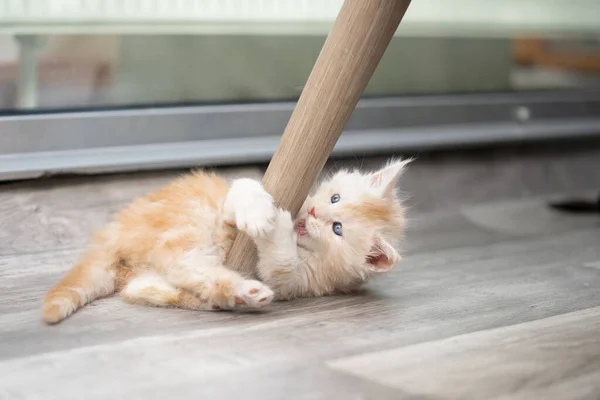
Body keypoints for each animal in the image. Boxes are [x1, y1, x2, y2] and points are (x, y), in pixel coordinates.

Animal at [41, 158, 408, 324]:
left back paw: (239, 294)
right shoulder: (233, 198)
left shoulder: (301, 281)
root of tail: (113, 232)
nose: (316, 211)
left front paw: (279, 229)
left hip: (183, 240)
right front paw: (262, 213)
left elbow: (281, 264)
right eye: (335, 197)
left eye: (337, 228)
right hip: (193, 219)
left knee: (176, 274)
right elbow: (246, 188)